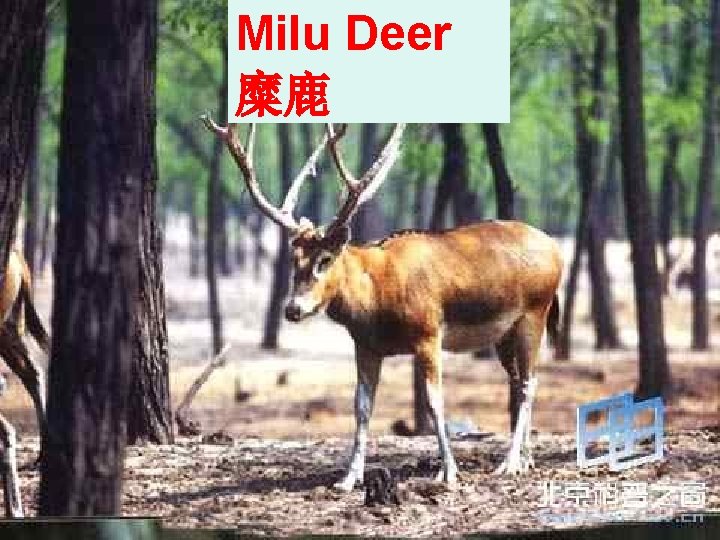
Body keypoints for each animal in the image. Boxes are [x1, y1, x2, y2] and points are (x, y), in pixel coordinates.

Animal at [202, 118, 563, 491]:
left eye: (325, 259)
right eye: (294, 260)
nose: (293, 309)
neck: (377, 298)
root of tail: (555, 248)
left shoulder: (428, 333)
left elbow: (434, 401)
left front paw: (448, 472)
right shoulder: (366, 345)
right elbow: (361, 406)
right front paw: (348, 478)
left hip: (535, 312)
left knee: (528, 382)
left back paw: (508, 464)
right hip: (504, 334)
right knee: (520, 380)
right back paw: (526, 460)